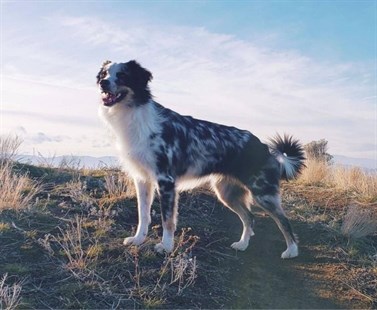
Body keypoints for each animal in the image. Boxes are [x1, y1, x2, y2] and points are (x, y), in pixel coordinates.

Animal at [95, 60, 304, 260]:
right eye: (104, 74)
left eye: (122, 75)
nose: (102, 83)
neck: (133, 113)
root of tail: (263, 146)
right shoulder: (143, 180)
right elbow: (143, 214)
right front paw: (138, 239)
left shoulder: (166, 182)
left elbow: (167, 220)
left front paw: (166, 247)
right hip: (226, 192)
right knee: (249, 218)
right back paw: (243, 245)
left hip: (262, 193)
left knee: (283, 221)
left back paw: (292, 251)